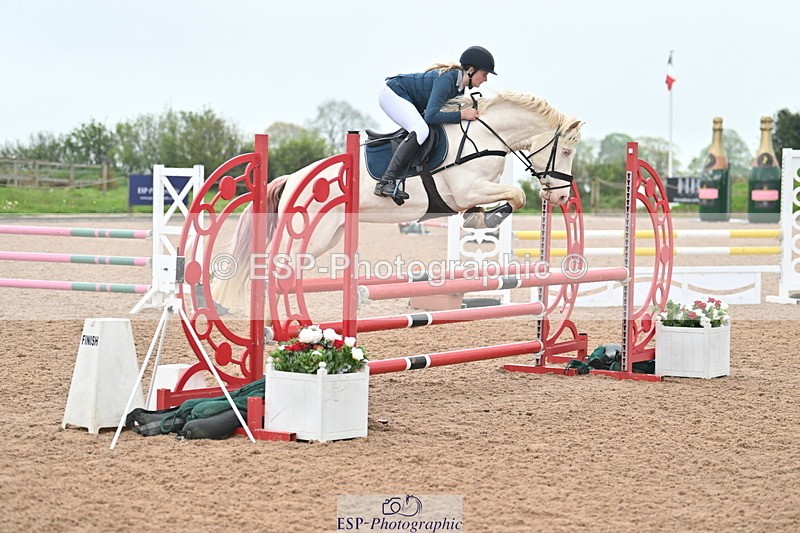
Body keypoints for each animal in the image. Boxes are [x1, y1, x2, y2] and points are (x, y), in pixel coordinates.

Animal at [212, 90, 583, 308]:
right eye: (565, 151)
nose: (561, 195)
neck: (483, 134)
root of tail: (292, 179)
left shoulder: (473, 192)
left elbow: (493, 204)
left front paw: (478, 218)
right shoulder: (468, 189)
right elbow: (516, 196)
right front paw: (489, 217)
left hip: (329, 236)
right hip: (314, 234)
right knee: (276, 268)